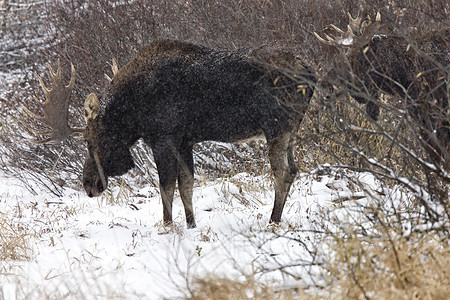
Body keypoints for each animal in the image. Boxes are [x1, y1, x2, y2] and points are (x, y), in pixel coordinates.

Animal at [22, 39, 314, 227]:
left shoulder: (163, 138)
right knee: (294, 169)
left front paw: (167, 226)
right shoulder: (184, 141)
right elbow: (186, 185)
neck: (133, 112)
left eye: (88, 140)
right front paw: (191, 224)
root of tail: (311, 73)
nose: (88, 184)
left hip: (276, 125)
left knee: (282, 172)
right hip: (290, 129)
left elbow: (165, 186)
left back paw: (272, 221)